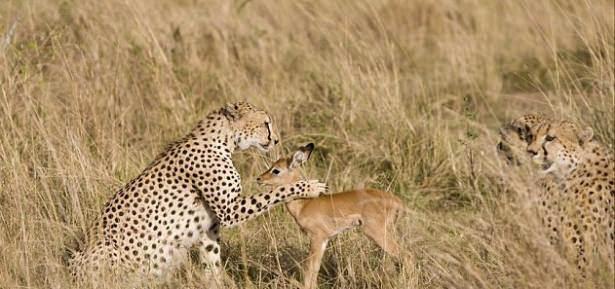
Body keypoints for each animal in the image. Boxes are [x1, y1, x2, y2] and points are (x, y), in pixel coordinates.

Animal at [69, 102, 330, 286]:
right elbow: (274, 193)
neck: (224, 142)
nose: (275, 140)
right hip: (105, 250)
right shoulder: (230, 211)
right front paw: (309, 186)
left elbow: (212, 261)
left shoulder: (210, 227)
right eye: (265, 123)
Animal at [256, 142, 410, 288]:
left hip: (376, 231)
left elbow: (310, 268)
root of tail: (397, 201)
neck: (304, 205)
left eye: (276, 170)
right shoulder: (325, 239)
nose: (259, 178)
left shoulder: (316, 237)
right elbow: (315, 268)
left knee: (406, 256)